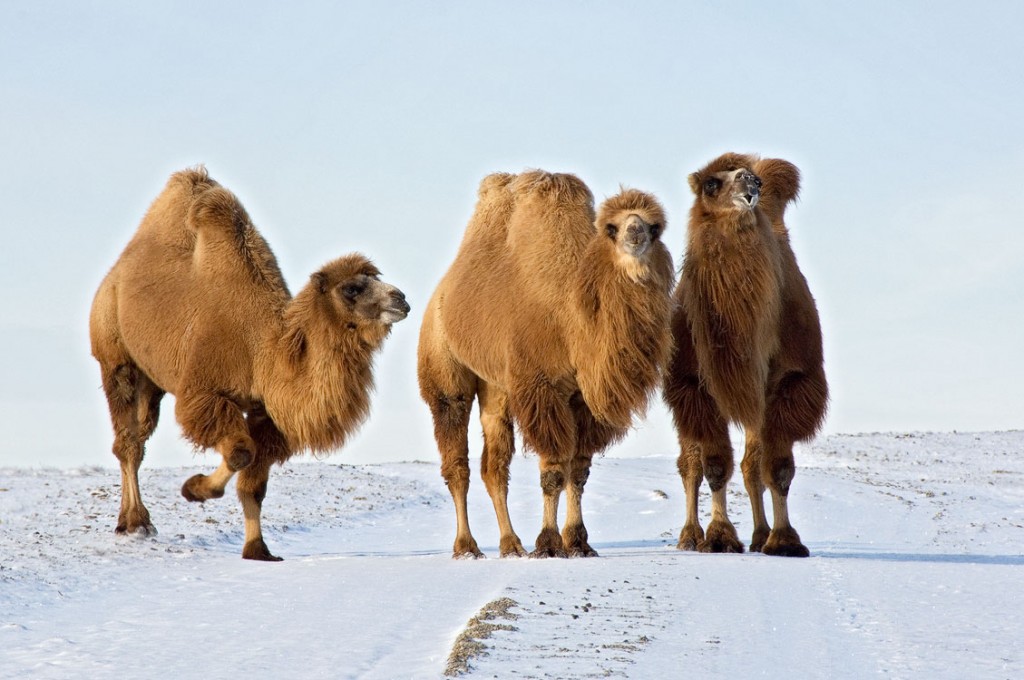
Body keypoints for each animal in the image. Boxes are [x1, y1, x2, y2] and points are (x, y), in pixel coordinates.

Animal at [89, 166, 410, 560]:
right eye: (352, 288)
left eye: (377, 281)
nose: (401, 298)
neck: (262, 351)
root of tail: (115, 275)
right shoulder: (206, 392)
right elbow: (241, 453)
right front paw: (194, 489)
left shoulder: (266, 412)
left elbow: (253, 484)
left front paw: (258, 549)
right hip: (116, 356)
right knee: (130, 442)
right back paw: (135, 524)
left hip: (153, 380)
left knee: (139, 434)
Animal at [418, 170, 675, 558]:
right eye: (611, 227)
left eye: (654, 226)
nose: (636, 233)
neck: (574, 322)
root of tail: (441, 293)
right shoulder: (543, 388)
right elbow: (554, 470)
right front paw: (550, 543)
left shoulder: (583, 400)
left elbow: (578, 470)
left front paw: (579, 542)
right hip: (444, 367)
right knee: (457, 462)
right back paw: (467, 546)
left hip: (496, 387)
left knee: (494, 466)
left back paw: (510, 544)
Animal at [663, 152, 828, 557]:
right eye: (711, 183)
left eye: (756, 179)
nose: (748, 181)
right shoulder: (696, 385)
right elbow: (714, 464)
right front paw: (720, 535)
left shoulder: (790, 381)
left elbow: (778, 467)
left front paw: (784, 539)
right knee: (690, 463)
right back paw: (691, 536)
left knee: (753, 464)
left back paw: (759, 534)